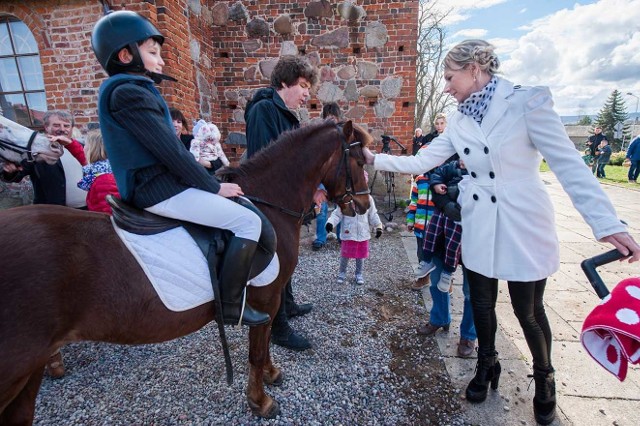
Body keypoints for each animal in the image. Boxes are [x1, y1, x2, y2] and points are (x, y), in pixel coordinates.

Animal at [0, 119, 370, 422]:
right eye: (360, 161)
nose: (364, 205)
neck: (269, 203)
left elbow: (263, 347)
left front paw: (271, 374)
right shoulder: (266, 299)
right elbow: (257, 348)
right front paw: (261, 401)